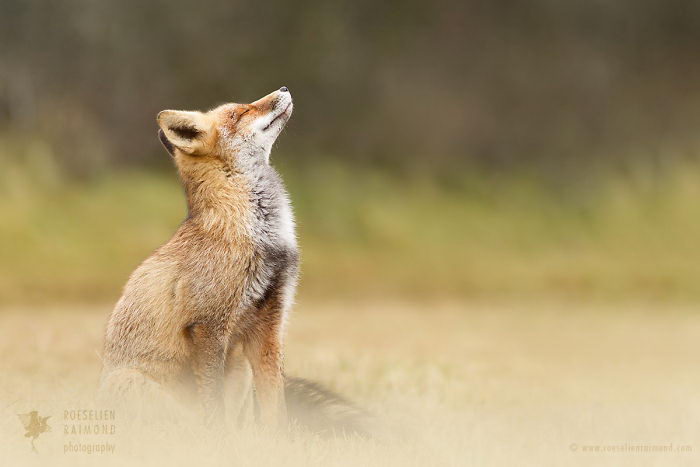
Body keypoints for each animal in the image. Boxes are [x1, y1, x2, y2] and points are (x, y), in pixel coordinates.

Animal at [100, 88, 370, 438]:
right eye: (241, 112)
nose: (284, 89)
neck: (257, 234)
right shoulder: (208, 325)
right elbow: (214, 405)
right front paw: (221, 443)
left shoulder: (269, 324)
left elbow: (275, 405)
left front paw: (277, 442)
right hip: (132, 381)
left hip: (240, 368)